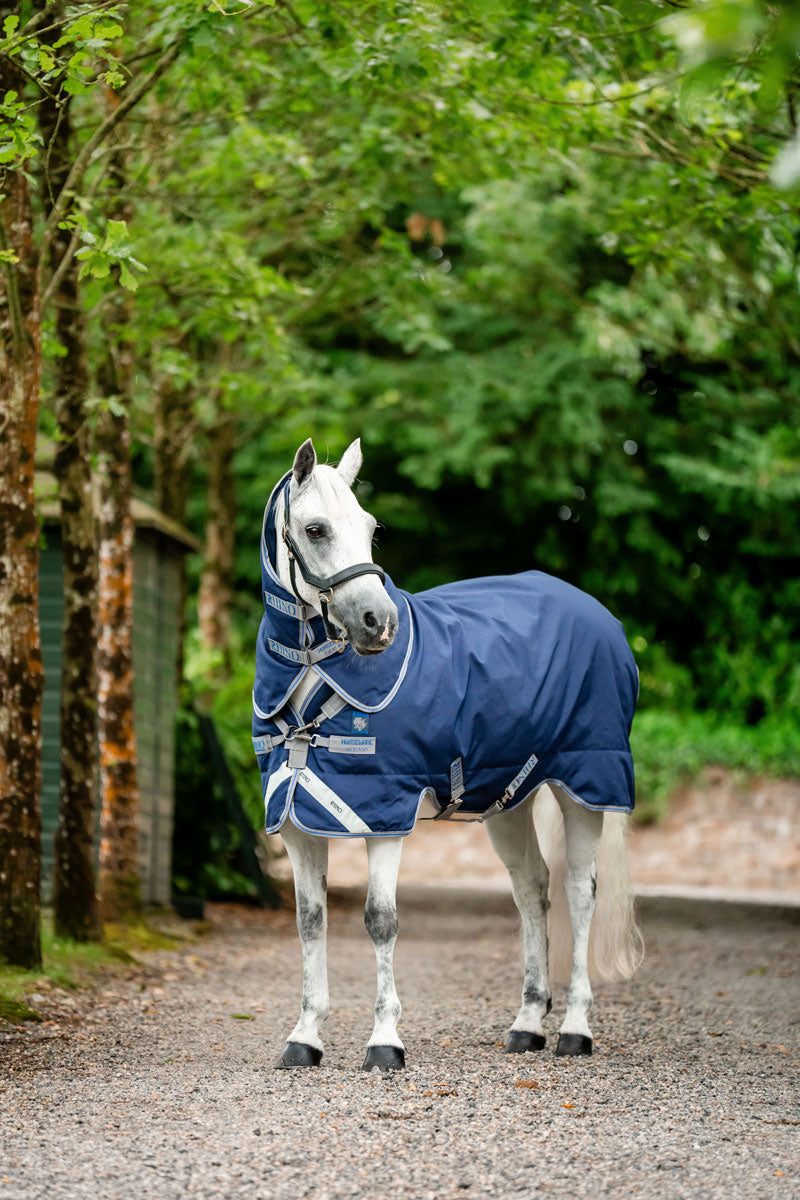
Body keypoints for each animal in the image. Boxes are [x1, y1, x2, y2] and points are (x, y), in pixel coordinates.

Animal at [252, 437, 643, 1072]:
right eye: (315, 529)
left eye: (369, 527)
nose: (378, 624)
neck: (315, 675)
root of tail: (601, 616)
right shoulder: (294, 820)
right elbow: (311, 922)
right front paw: (305, 1037)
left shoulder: (384, 815)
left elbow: (380, 920)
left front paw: (385, 1041)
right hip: (511, 801)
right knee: (532, 890)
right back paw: (527, 1024)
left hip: (586, 786)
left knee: (580, 894)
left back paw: (575, 1029)